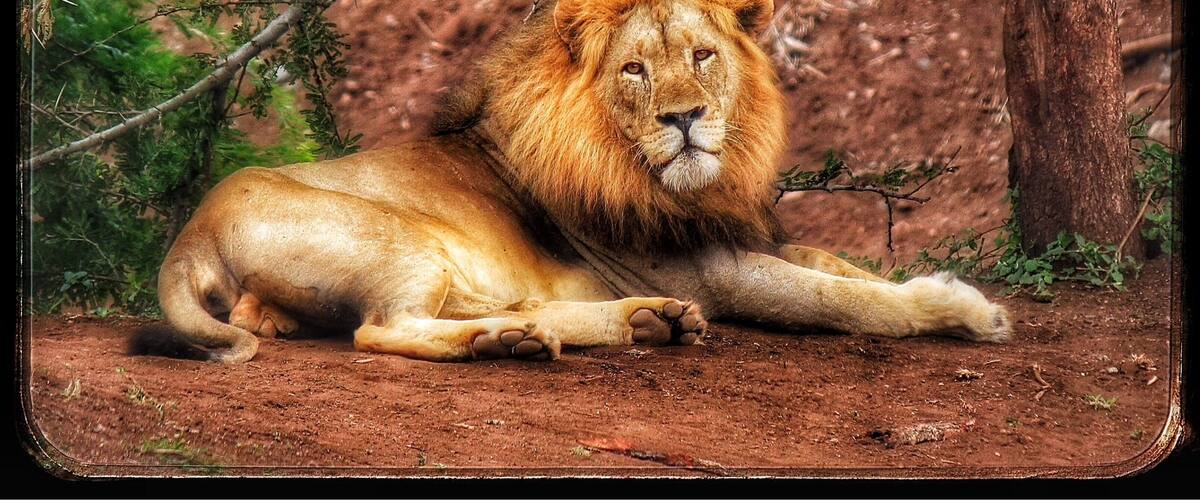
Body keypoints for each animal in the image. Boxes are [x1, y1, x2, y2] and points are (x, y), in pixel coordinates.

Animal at [131, 0, 1011, 364]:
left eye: (703, 56)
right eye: (634, 70)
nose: (684, 119)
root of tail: (191, 231)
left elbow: (841, 265)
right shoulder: (715, 271)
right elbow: (847, 299)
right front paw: (965, 311)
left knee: (497, 306)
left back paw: (635, 322)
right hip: (399, 239)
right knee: (384, 330)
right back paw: (516, 342)